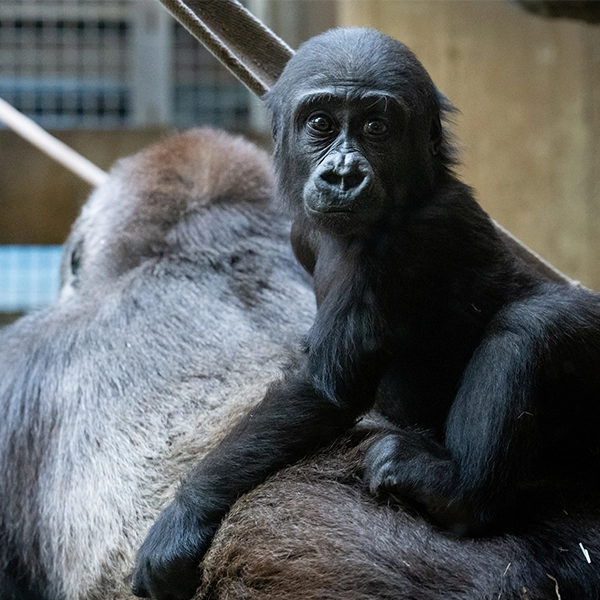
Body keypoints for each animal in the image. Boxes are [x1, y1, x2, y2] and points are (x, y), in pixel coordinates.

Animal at [134, 28, 600, 600]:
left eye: (376, 127)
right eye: (320, 123)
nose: (343, 173)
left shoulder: (408, 242)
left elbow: (324, 389)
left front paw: (185, 517)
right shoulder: (300, 234)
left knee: (537, 325)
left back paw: (459, 495)